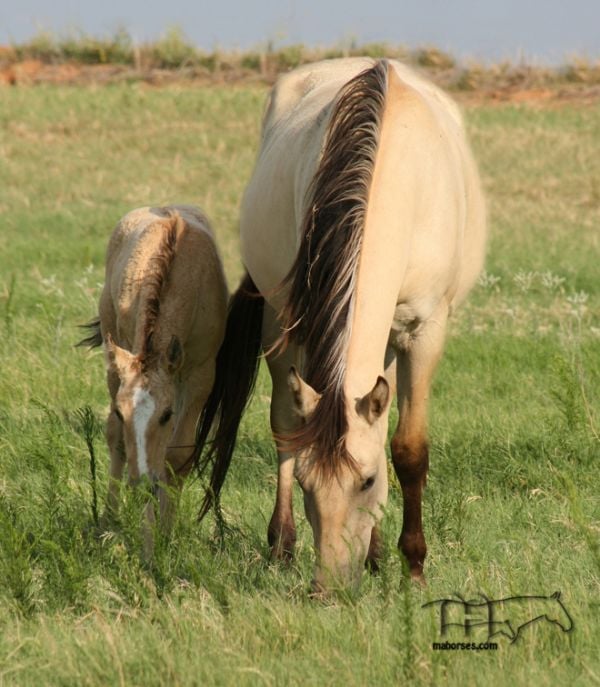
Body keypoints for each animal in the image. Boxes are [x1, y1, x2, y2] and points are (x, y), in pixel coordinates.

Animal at [78, 206, 229, 560]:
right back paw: (109, 518)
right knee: (115, 440)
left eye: (166, 415)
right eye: (123, 413)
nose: (140, 482)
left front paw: (165, 538)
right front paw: (149, 547)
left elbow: (175, 458)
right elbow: (126, 443)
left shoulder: (201, 375)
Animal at [195, 57, 486, 592]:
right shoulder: (304, 322)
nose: (328, 588)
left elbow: (408, 449)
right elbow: (295, 429)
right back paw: (282, 546)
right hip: (281, 322)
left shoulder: (425, 332)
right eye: (308, 483)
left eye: (368, 481)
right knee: (286, 422)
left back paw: (375, 557)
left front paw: (413, 568)